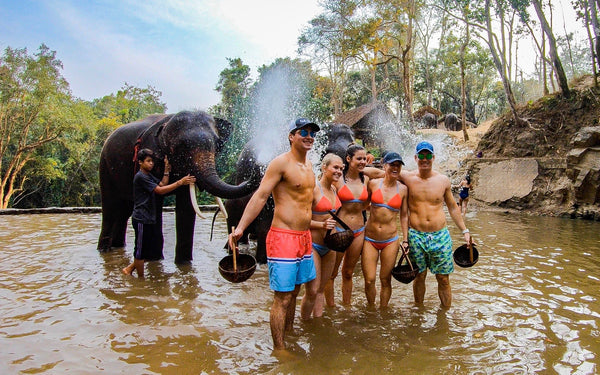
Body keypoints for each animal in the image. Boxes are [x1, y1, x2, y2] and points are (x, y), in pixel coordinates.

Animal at [97, 110, 256, 266]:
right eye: (182, 147)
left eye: (217, 144)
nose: (255, 166)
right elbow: (156, 201)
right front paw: (156, 261)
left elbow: (186, 205)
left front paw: (184, 264)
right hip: (104, 165)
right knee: (110, 207)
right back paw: (104, 250)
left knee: (124, 210)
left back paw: (118, 246)